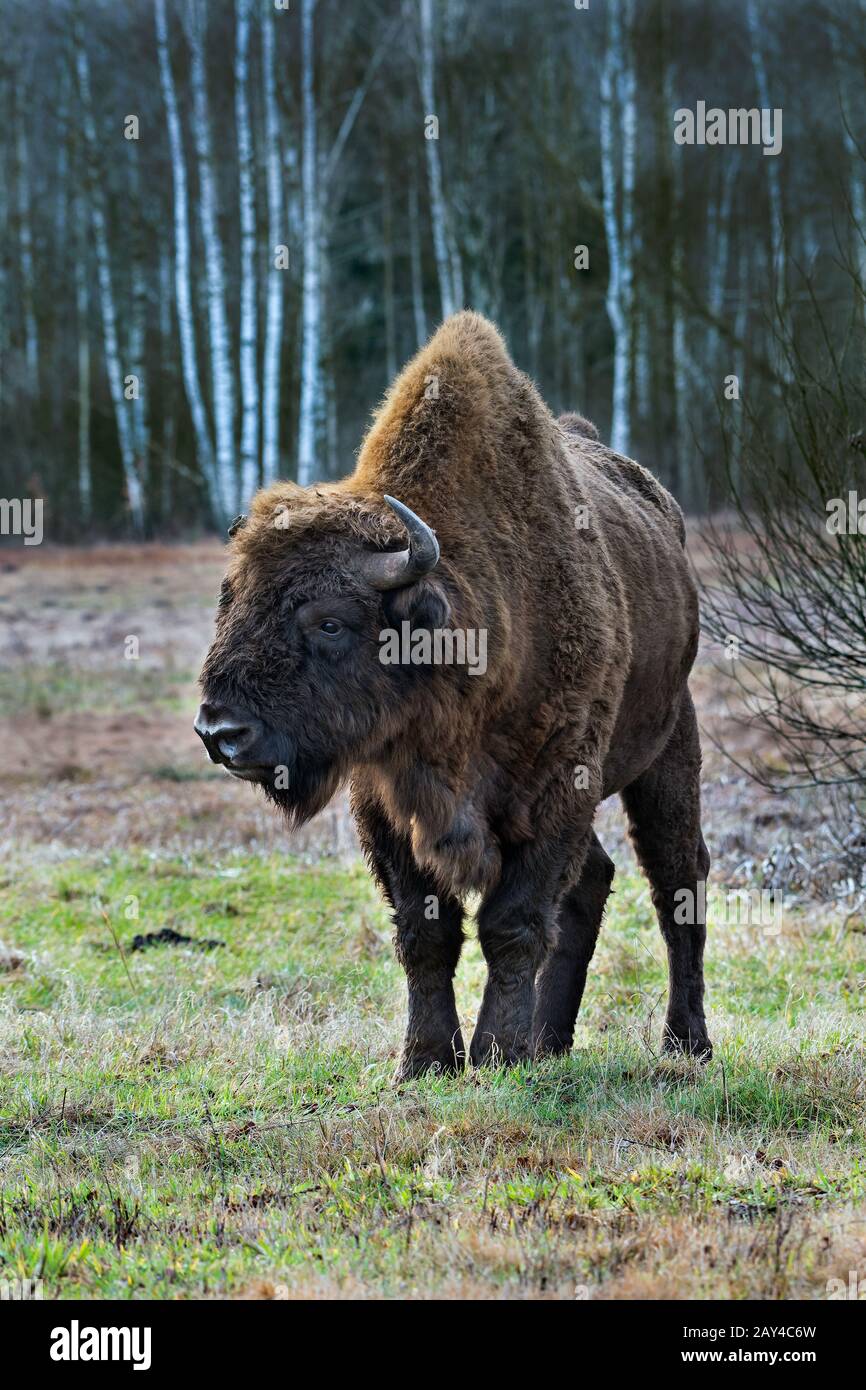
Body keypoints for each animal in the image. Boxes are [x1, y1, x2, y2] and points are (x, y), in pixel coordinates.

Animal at [196, 312, 710, 1077]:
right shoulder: (384, 803)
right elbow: (425, 932)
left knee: (676, 882)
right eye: (229, 604)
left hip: (669, 749)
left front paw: (495, 1052)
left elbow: (513, 924)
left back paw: (687, 1044)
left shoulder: (555, 789)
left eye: (329, 621)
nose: (220, 732)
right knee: (595, 882)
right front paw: (428, 1060)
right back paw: (551, 1042)